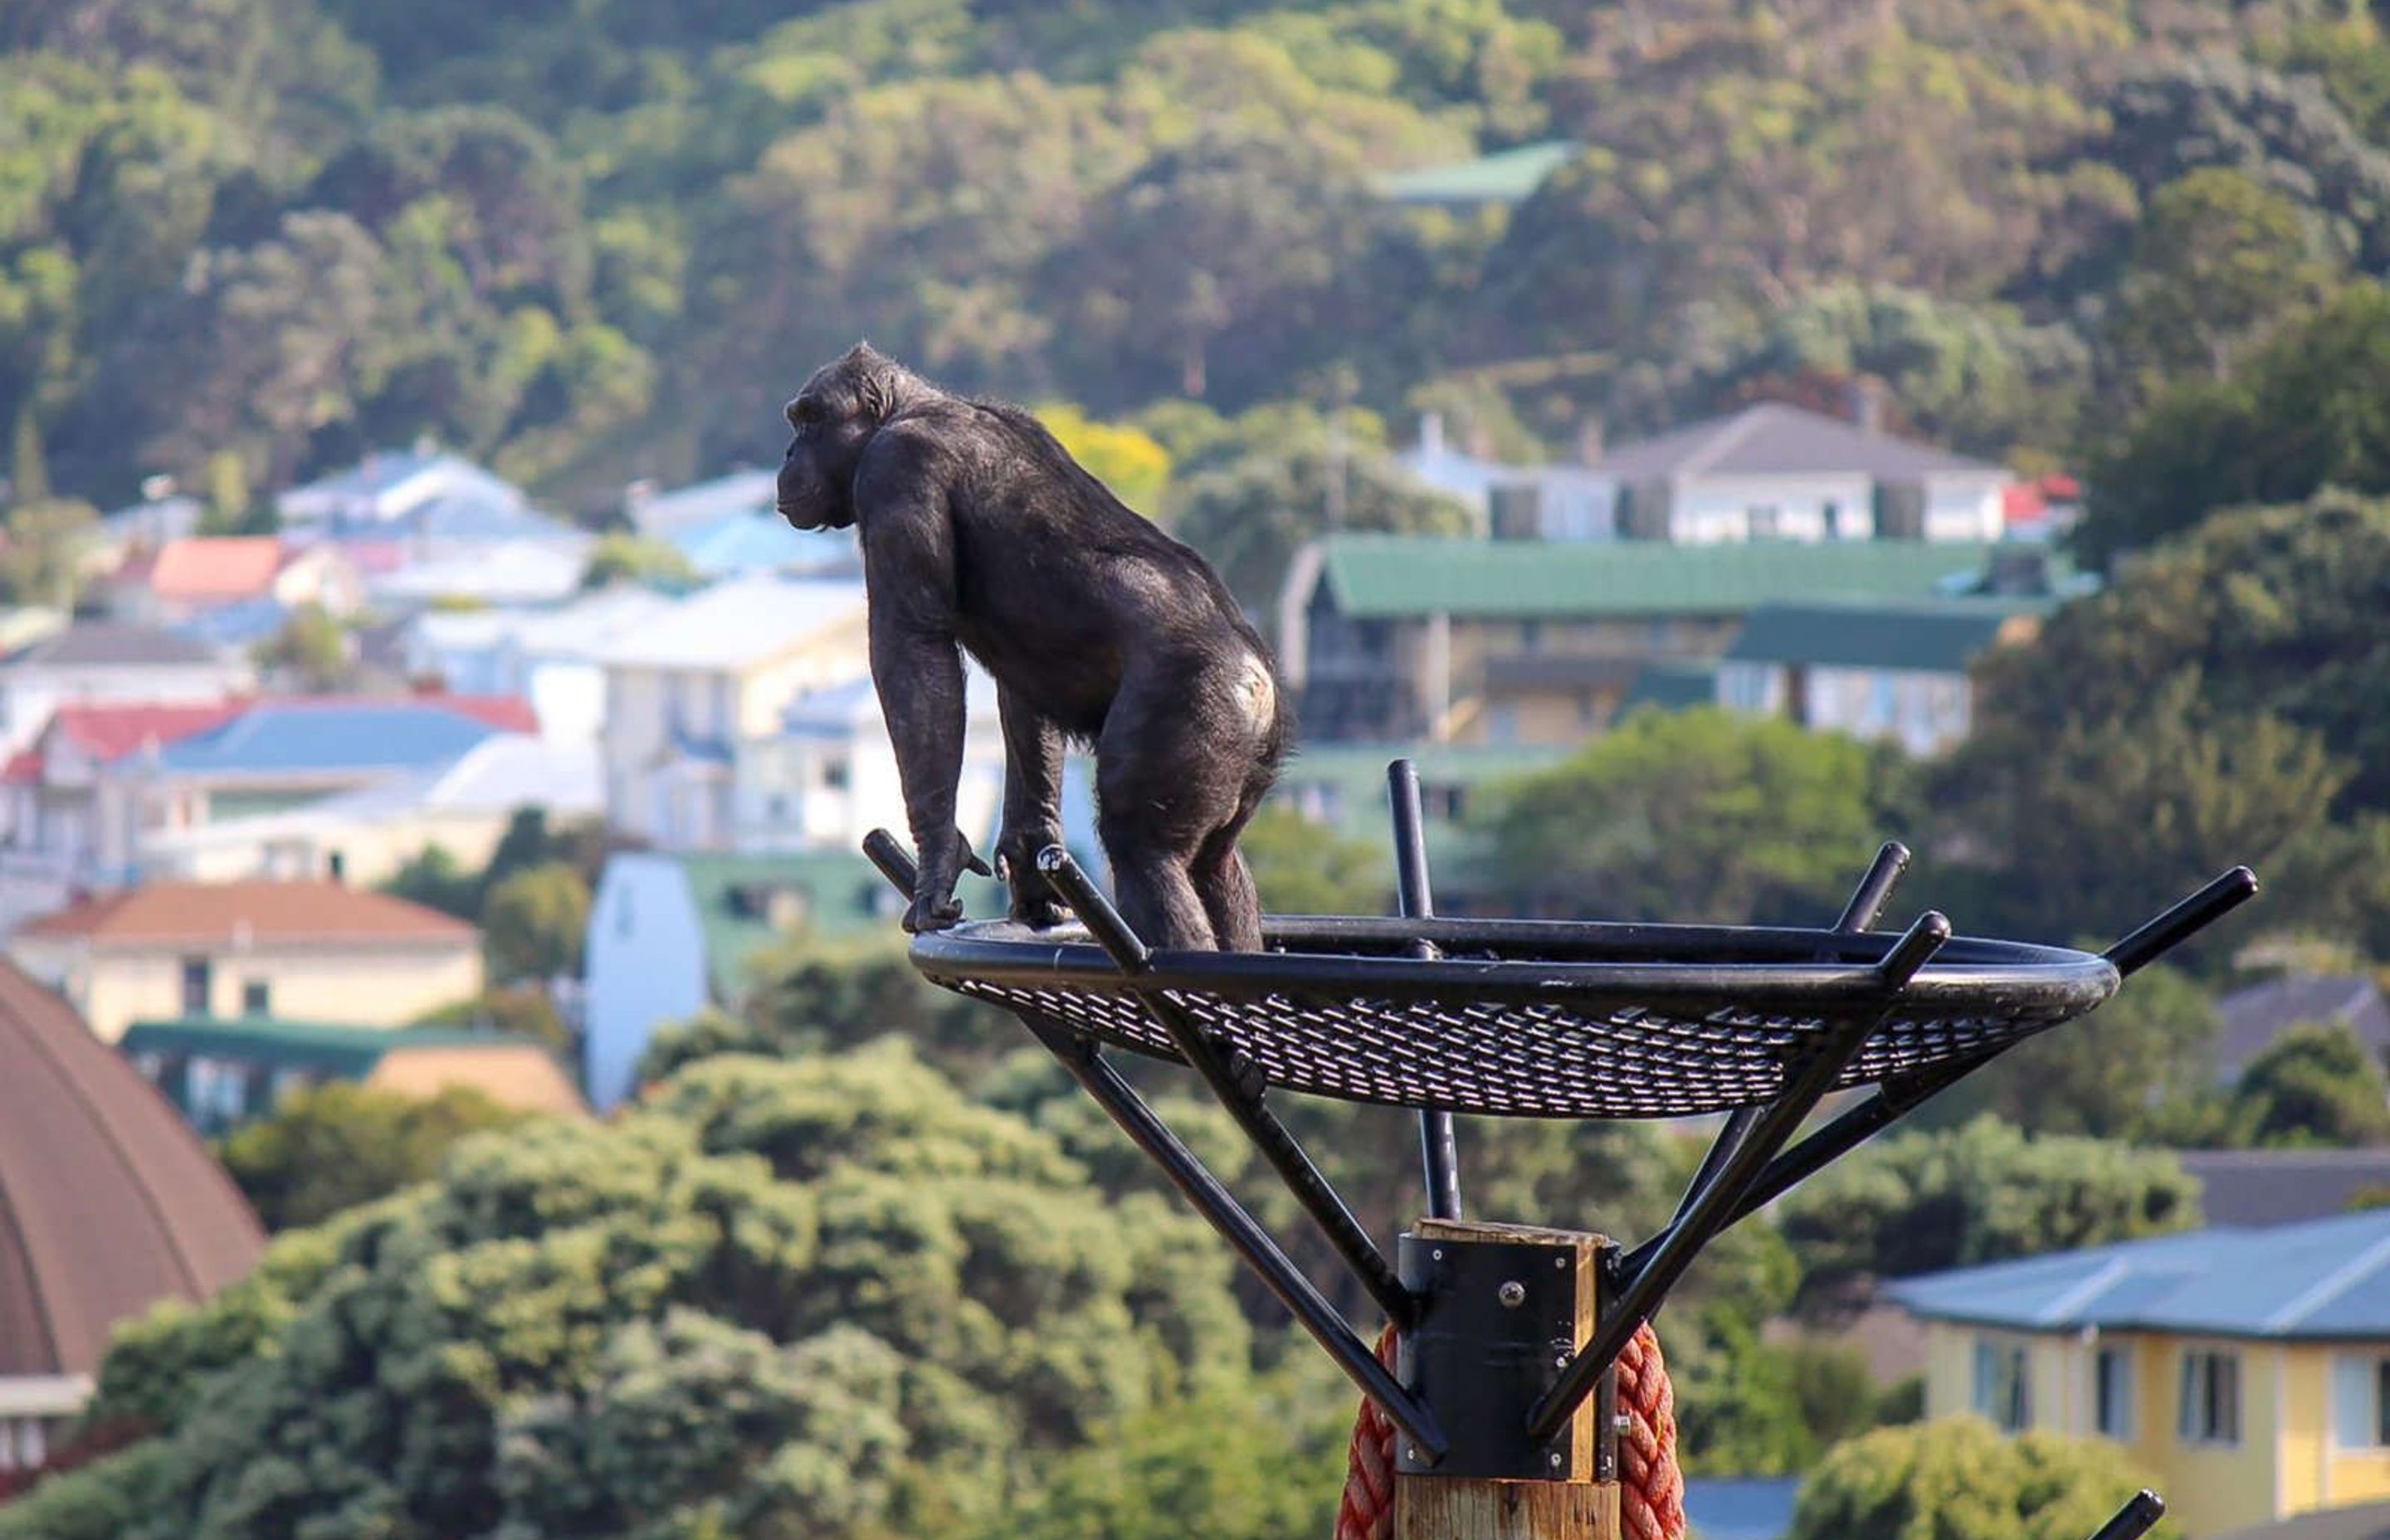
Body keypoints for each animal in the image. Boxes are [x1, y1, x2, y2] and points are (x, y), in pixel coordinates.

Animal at [778, 346, 1290, 952]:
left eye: (809, 419)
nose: (789, 451)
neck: (916, 409)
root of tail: (1259, 683)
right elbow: (1024, 705)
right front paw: (1029, 856)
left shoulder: (896, 471)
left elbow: (913, 646)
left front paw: (937, 859)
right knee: (1215, 865)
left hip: (1189, 712)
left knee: (1146, 851)